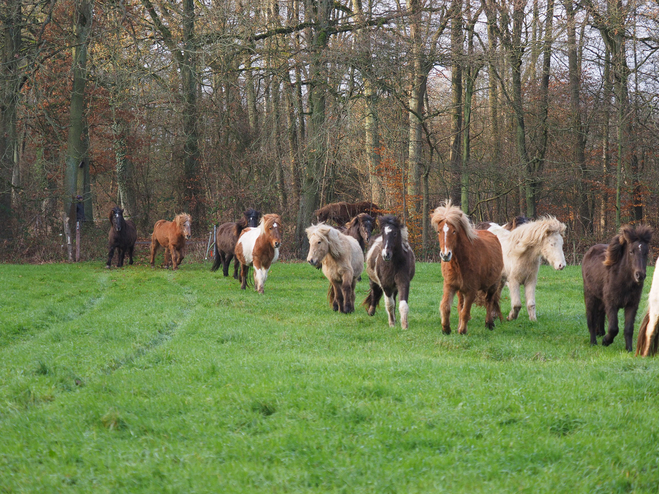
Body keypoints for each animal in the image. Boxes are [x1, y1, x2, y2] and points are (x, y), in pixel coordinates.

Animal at [430, 201, 502, 336]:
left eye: (454, 231)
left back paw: (489, 323)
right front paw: (446, 329)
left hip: (493, 285)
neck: (459, 263)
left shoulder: (471, 290)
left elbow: (465, 311)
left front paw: (462, 331)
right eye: (438, 231)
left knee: (489, 302)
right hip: (460, 291)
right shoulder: (450, 286)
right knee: (460, 305)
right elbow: (446, 307)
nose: (445, 255)